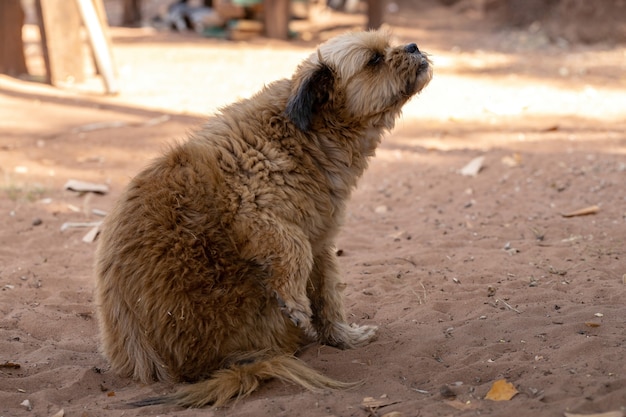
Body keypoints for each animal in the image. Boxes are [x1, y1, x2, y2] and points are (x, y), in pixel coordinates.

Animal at [95, 29, 432, 406]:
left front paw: (343, 338)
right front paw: (295, 302)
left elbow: (328, 295)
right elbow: (295, 250)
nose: (414, 46)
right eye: (374, 59)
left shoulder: (321, 239)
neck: (304, 133)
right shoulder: (253, 213)